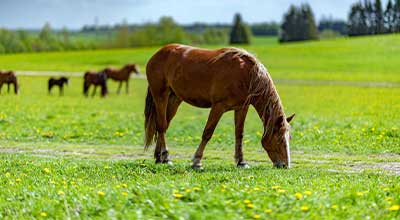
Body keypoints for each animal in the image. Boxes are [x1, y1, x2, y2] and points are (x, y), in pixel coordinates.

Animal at [145, 43, 296, 169]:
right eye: (280, 139)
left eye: (289, 138)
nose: (285, 165)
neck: (247, 75)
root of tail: (158, 54)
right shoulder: (218, 107)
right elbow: (207, 133)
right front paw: (197, 161)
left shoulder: (241, 108)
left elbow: (239, 134)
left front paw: (241, 162)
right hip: (160, 96)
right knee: (162, 125)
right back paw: (166, 157)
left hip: (174, 99)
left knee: (163, 126)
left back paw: (159, 158)